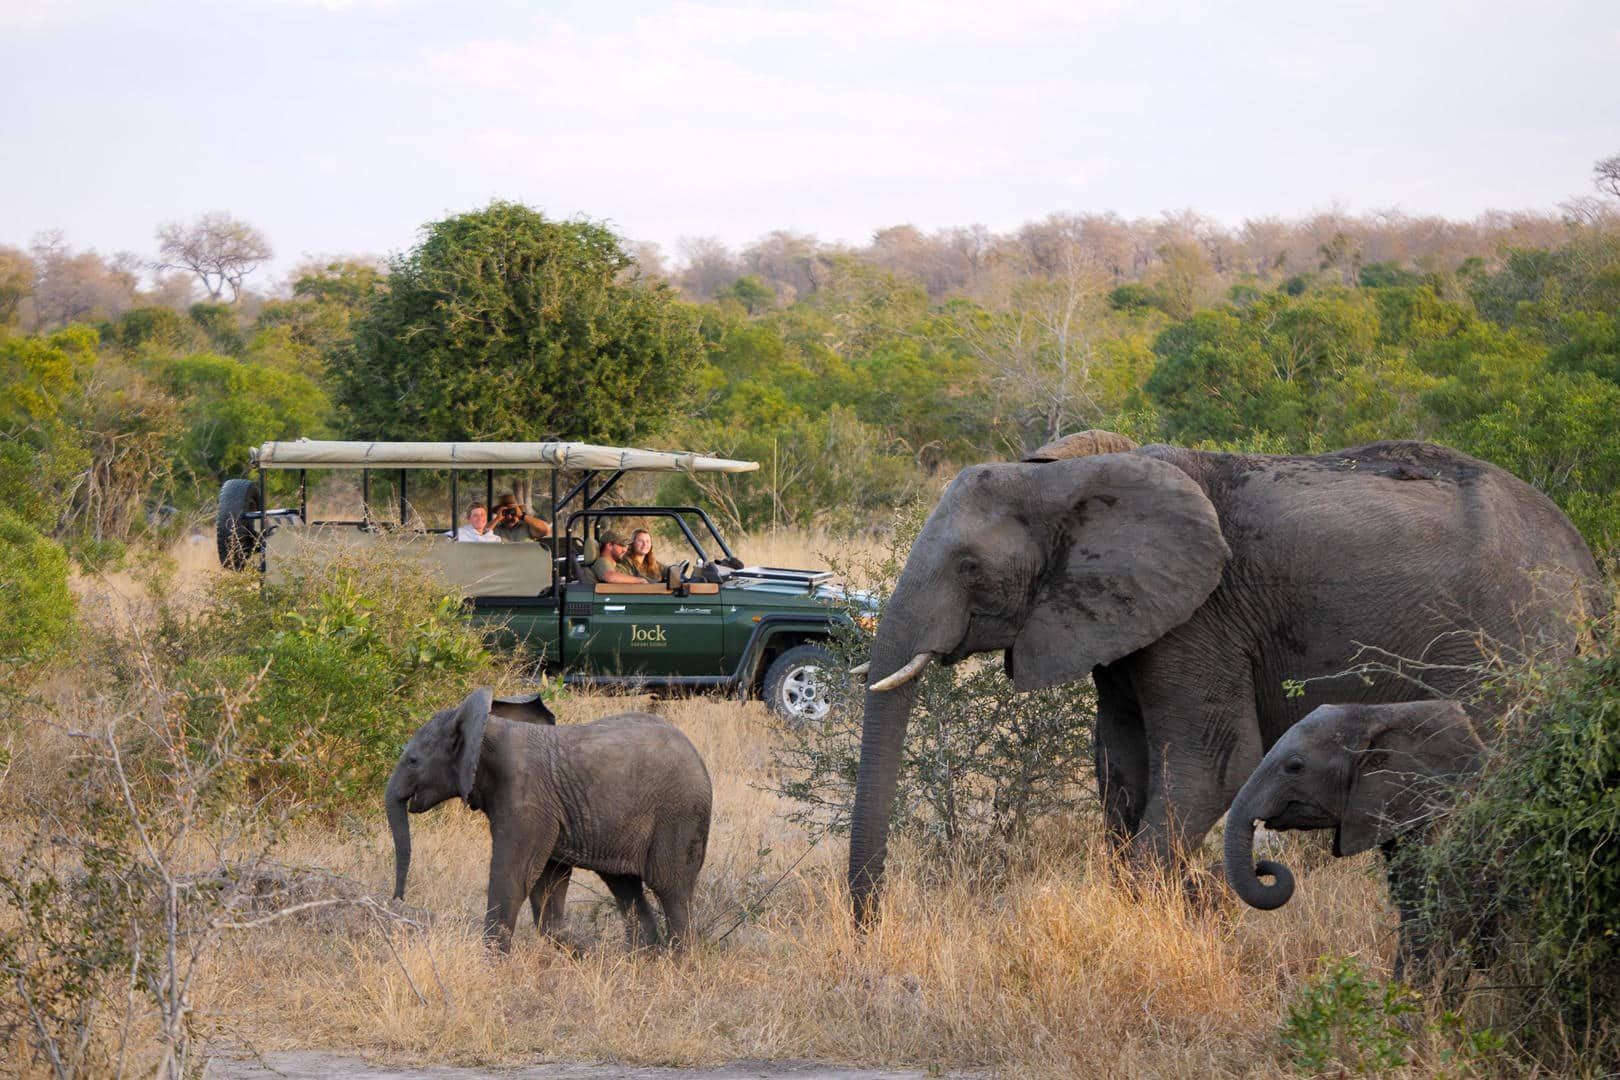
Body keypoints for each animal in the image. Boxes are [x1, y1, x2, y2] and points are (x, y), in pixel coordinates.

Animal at [387, 688, 712, 951]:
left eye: (412, 760)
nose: (398, 900)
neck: (485, 729)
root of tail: (698, 757)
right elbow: (547, 885)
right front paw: (585, 954)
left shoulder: (526, 801)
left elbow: (513, 878)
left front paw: (493, 967)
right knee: (625, 886)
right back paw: (642, 959)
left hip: (679, 814)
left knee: (671, 888)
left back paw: (678, 961)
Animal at [849, 437, 1603, 921]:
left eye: (970, 569)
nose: (871, 925)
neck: (1069, 480)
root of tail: (1586, 567)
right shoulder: (1125, 619)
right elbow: (1123, 765)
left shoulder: (1203, 615)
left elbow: (1212, 766)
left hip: (1510, 641)